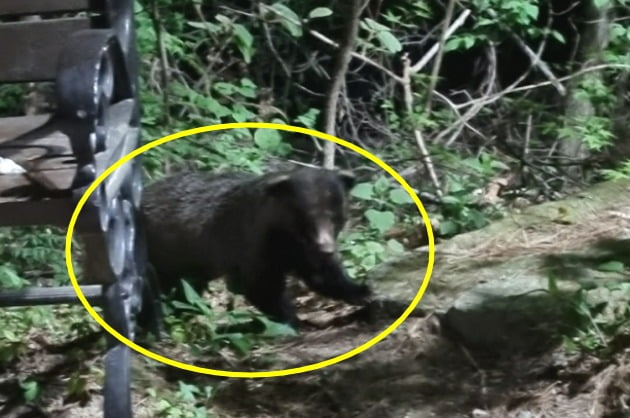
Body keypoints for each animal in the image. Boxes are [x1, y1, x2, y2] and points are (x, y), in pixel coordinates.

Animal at [141, 167, 372, 326]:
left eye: (336, 216)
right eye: (307, 218)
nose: (326, 249)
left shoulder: (300, 249)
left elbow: (321, 275)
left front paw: (361, 290)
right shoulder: (254, 242)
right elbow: (260, 284)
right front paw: (290, 319)